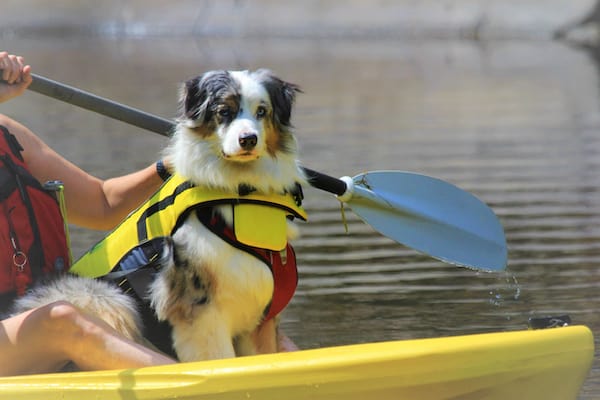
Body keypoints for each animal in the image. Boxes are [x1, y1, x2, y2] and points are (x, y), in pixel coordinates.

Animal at [10, 69, 304, 362]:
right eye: (224, 111)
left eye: (262, 111)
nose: (248, 139)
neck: (239, 192)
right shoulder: (201, 314)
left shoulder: (261, 319)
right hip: (102, 298)